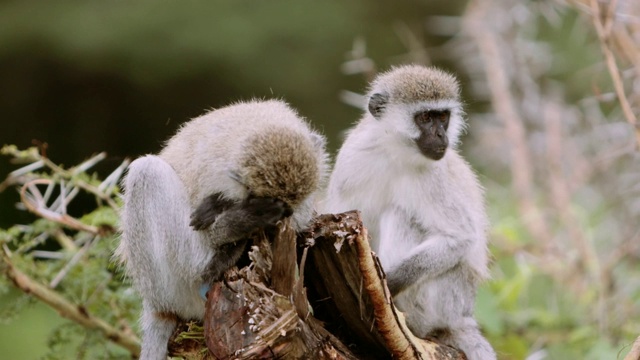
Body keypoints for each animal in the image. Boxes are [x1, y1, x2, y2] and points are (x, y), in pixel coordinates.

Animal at [116, 99, 330, 360]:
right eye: (270, 201)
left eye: (289, 208)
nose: (282, 215)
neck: (259, 126)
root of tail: (157, 304)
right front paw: (234, 221)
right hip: (174, 289)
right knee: (147, 171)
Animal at [324, 65, 496, 360]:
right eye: (425, 117)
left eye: (443, 117)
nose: (441, 136)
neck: (395, 152)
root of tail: (461, 316)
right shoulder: (352, 158)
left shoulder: (432, 176)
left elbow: (460, 237)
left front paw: (389, 282)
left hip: (444, 299)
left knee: (401, 214)